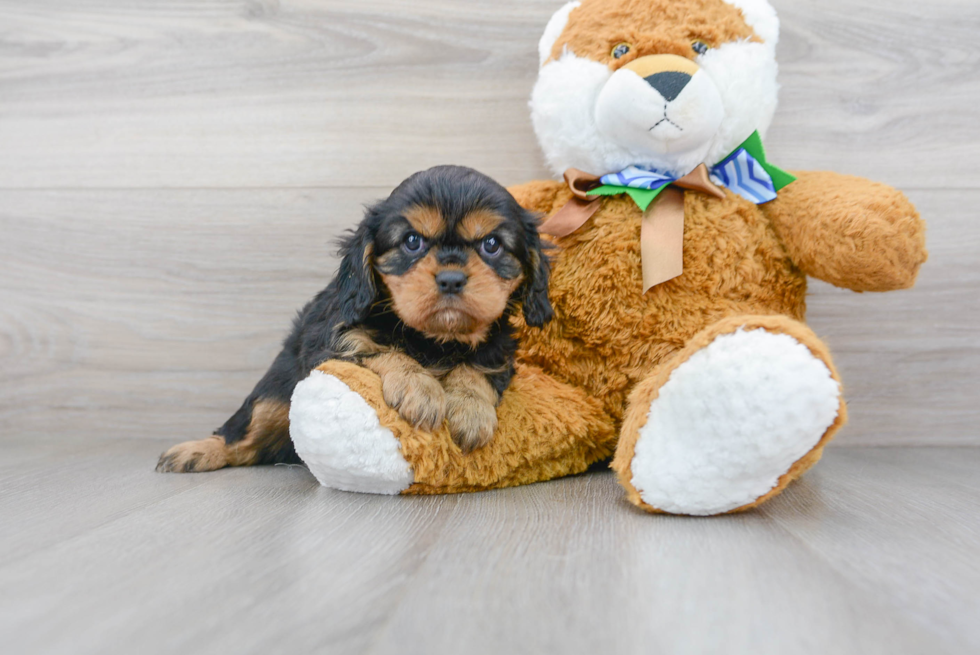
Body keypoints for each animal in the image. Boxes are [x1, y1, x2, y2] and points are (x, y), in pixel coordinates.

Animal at [159, 164, 552, 472]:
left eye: (491, 245)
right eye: (412, 241)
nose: (452, 278)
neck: (435, 339)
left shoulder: (498, 351)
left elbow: (477, 369)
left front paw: (471, 410)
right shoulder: (330, 342)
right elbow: (379, 349)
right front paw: (419, 387)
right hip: (272, 399)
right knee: (243, 438)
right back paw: (197, 451)